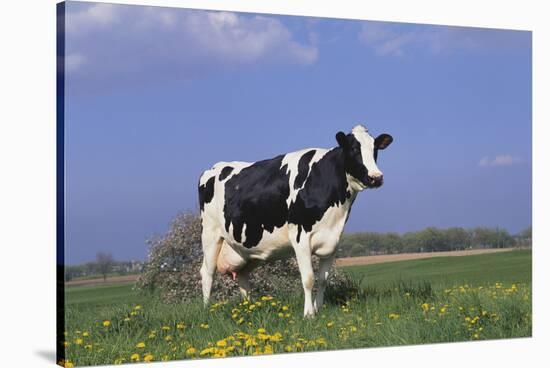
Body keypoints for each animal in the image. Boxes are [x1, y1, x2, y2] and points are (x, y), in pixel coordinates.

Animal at [201, 125, 394, 314]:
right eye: (354, 149)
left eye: (375, 149)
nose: (376, 177)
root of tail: (214, 167)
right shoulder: (301, 236)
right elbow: (308, 278)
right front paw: (309, 314)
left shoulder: (333, 240)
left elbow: (323, 279)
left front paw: (319, 309)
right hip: (210, 234)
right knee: (207, 272)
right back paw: (207, 309)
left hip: (246, 249)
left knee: (242, 275)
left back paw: (249, 307)